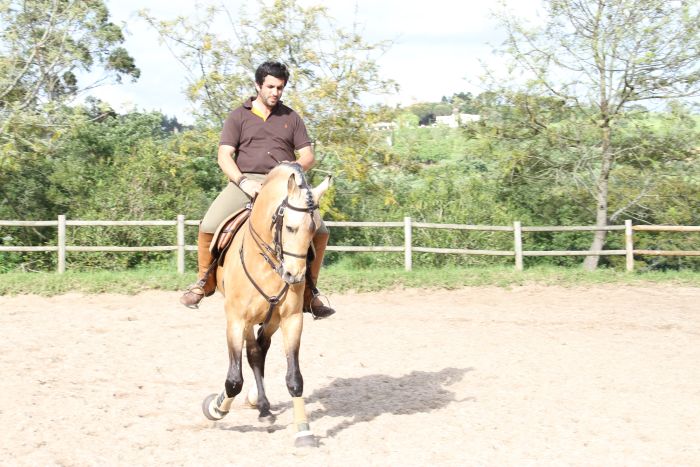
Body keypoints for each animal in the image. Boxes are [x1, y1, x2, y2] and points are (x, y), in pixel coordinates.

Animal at [200, 162, 330, 450]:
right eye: (290, 227)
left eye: (313, 230)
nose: (295, 276)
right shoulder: (236, 320)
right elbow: (233, 380)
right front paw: (216, 407)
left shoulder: (291, 319)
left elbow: (294, 378)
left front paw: (303, 431)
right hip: (249, 320)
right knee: (253, 354)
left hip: (271, 320)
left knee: (258, 352)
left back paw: (262, 405)